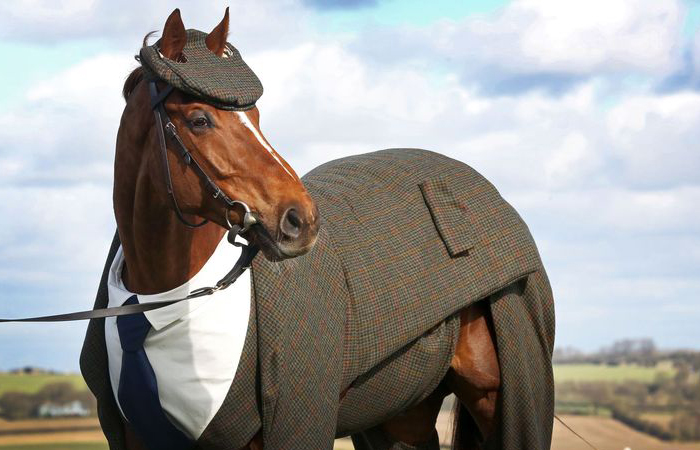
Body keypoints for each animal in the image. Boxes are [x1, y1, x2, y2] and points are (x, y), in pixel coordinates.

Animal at [80, 8, 555, 450]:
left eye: (254, 114)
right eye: (199, 119)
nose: (301, 219)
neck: (162, 304)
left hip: (494, 396)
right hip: (403, 415)